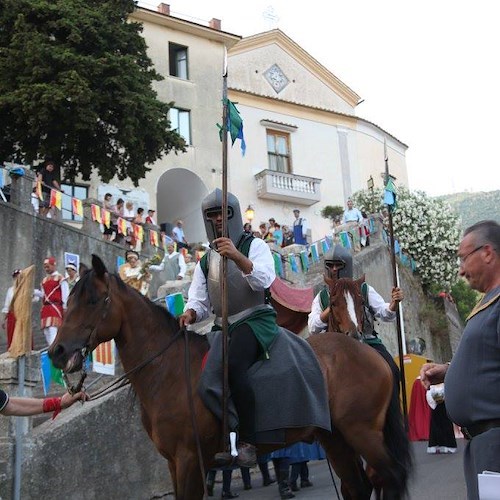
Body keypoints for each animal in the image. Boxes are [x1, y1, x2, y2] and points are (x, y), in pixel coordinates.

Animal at [49, 256, 410, 498]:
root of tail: (368, 353)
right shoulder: (174, 463)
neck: (169, 370)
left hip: (362, 432)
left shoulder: (189, 458)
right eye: (69, 300)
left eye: (93, 300)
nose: (57, 351)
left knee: (390, 476)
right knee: (359, 486)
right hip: (337, 437)